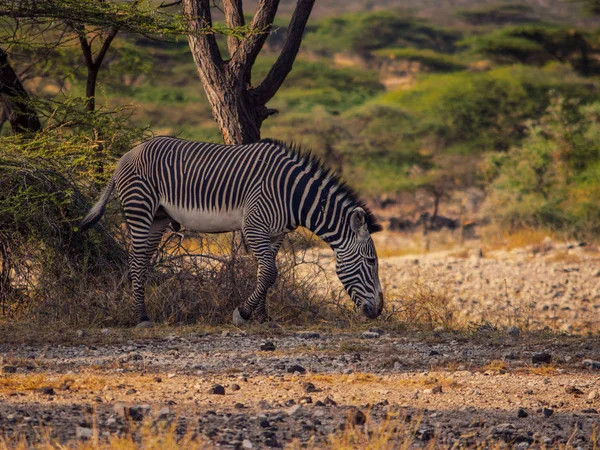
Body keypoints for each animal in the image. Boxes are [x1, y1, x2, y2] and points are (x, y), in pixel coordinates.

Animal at [79, 136, 384, 326]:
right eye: (371, 261)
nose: (378, 311)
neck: (294, 195)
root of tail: (126, 155)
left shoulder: (275, 233)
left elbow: (266, 273)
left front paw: (263, 318)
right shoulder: (254, 225)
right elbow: (270, 272)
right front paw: (243, 314)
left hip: (157, 217)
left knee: (141, 261)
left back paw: (142, 313)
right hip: (140, 208)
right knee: (135, 261)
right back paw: (141, 317)